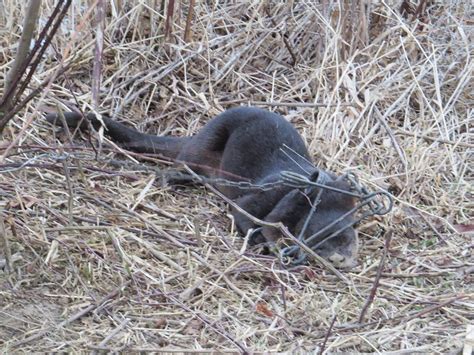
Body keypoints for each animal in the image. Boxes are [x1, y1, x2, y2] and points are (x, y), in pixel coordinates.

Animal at [46, 108, 360, 270]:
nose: (339, 258)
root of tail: (195, 136)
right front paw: (268, 243)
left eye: (348, 240)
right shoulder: (269, 194)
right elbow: (246, 215)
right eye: (320, 237)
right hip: (204, 146)